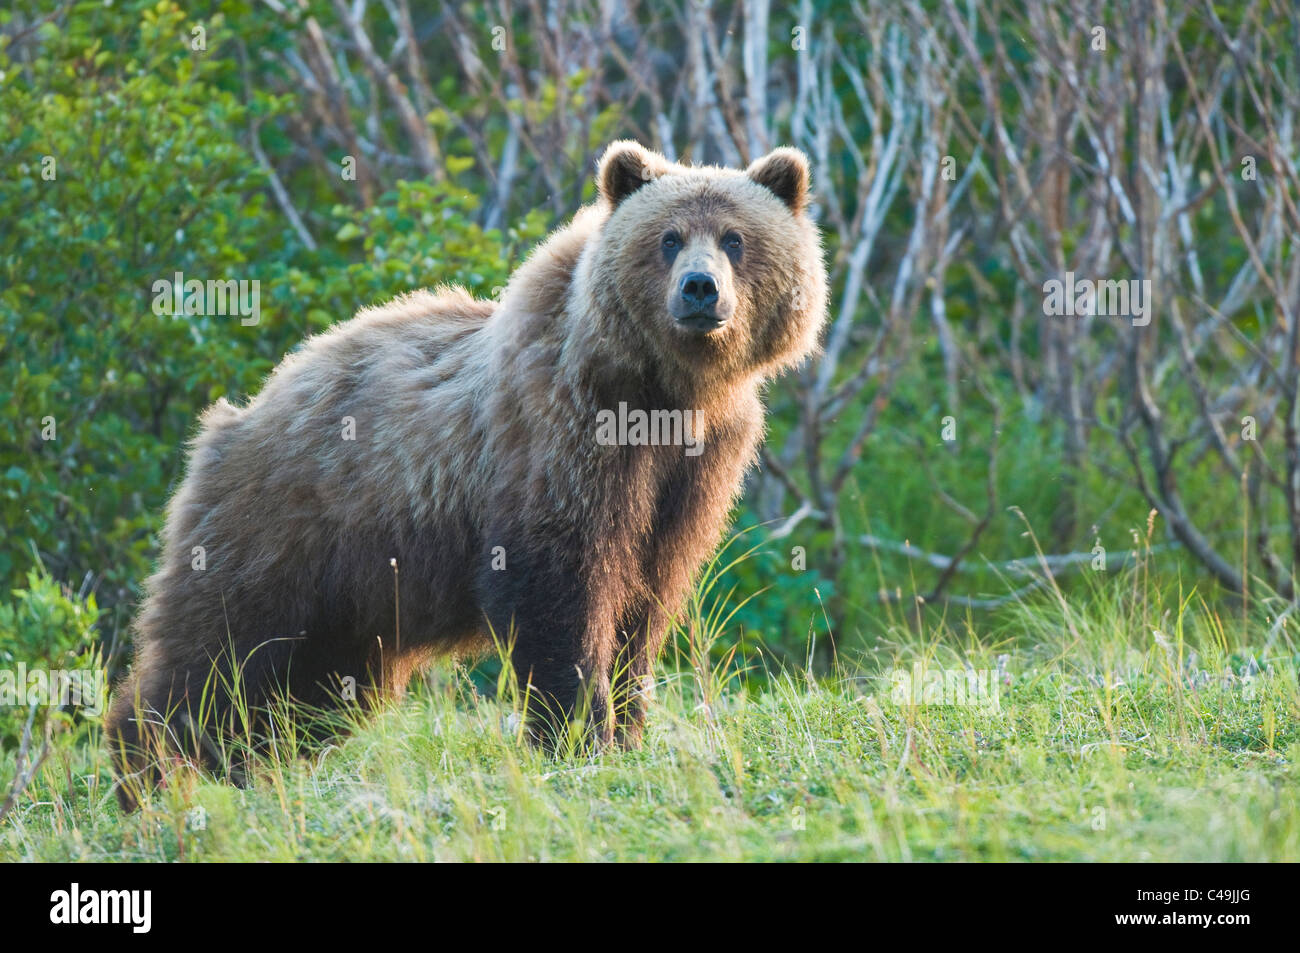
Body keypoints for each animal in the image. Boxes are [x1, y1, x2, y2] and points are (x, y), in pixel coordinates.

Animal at [105, 140, 828, 809]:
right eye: (668, 238)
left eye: (735, 239)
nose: (700, 288)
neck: (665, 397)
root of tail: (246, 408)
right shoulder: (559, 441)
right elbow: (560, 594)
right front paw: (577, 735)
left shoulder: (693, 473)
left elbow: (646, 603)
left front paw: (627, 726)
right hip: (280, 529)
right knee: (216, 651)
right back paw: (149, 770)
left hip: (352, 594)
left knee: (315, 687)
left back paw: (250, 764)